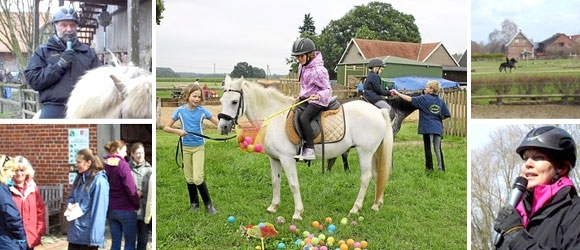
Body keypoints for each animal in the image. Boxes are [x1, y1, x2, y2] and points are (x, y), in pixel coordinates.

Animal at [218, 75, 394, 220]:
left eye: (234, 102)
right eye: (221, 101)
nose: (223, 127)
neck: (274, 116)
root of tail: (379, 112)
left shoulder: (286, 159)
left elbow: (293, 184)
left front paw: (297, 213)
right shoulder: (274, 159)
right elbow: (275, 182)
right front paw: (273, 207)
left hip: (365, 152)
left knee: (366, 178)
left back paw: (355, 209)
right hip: (372, 153)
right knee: (377, 175)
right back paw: (376, 204)